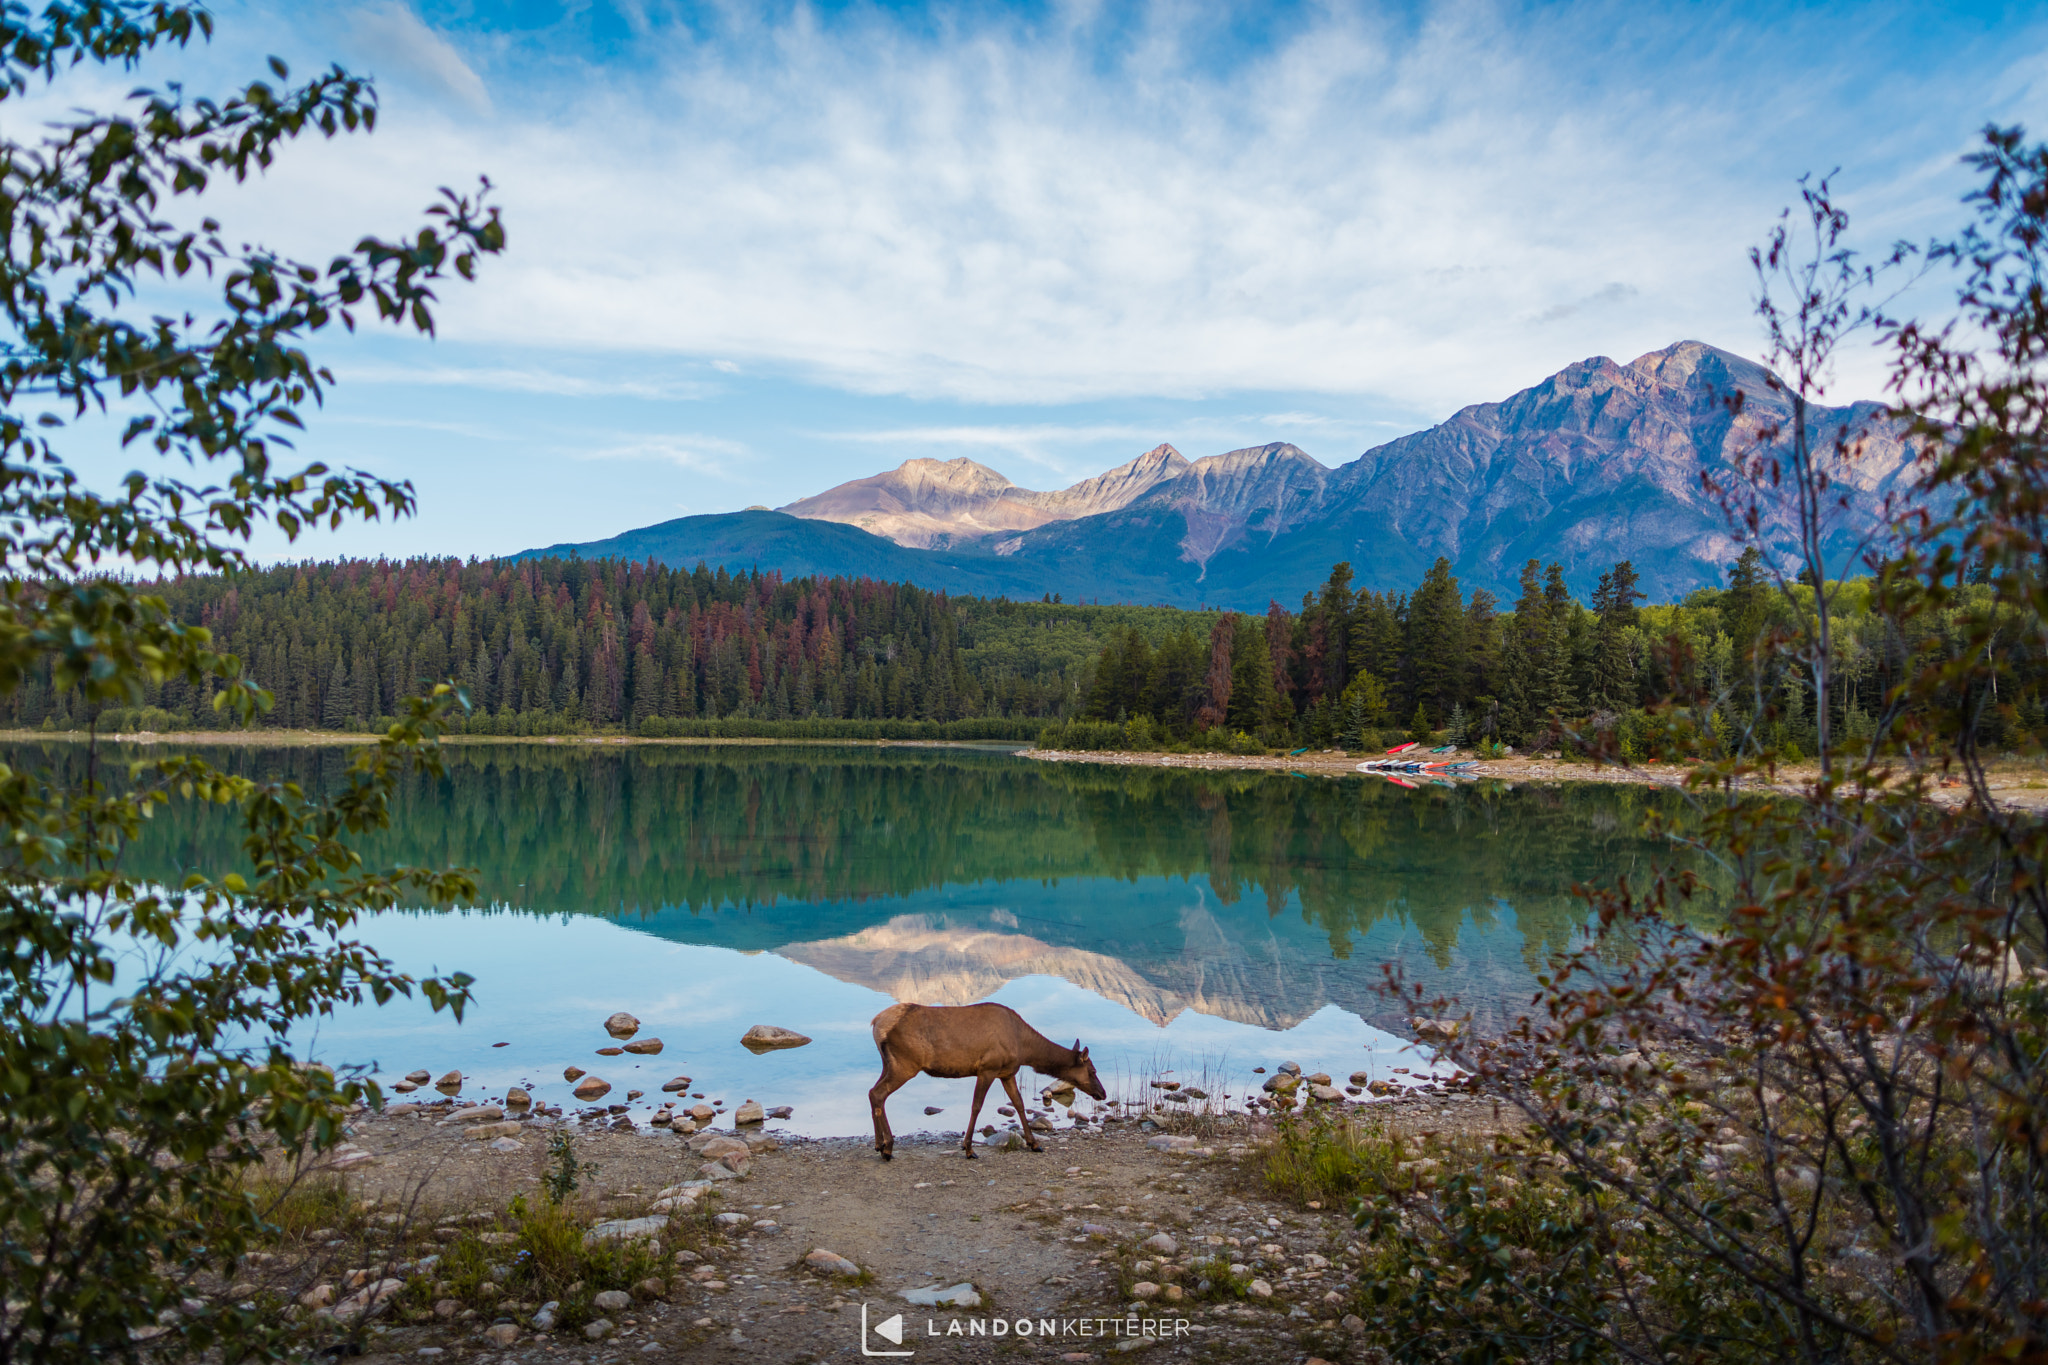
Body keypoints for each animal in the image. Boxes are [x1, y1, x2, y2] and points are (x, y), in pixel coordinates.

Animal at [876, 998, 1114, 1162]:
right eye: (1092, 1070)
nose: (1103, 1093)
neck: (1024, 1047)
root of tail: (876, 1024)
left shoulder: (1007, 1072)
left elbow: (1019, 1103)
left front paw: (1033, 1143)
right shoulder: (988, 1068)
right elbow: (977, 1106)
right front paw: (968, 1148)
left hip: (889, 1064)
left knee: (874, 1093)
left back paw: (880, 1145)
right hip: (905, 1064)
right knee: (878, 1094)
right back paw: (887, 1148)